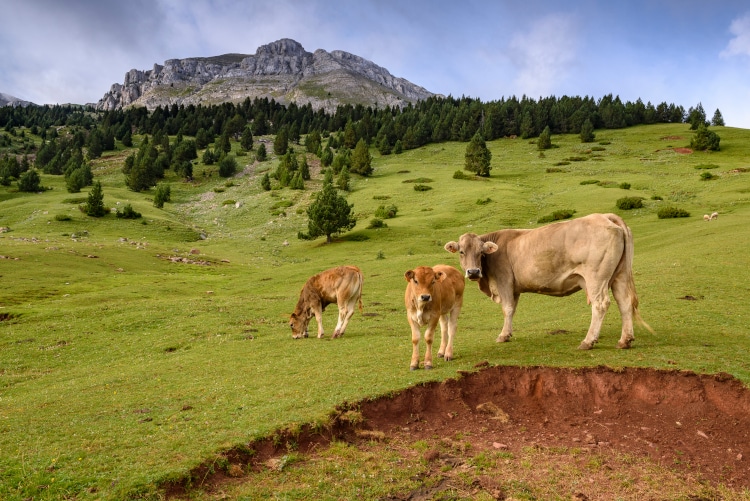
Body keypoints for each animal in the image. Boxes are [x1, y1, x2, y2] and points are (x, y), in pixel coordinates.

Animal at [446, 213, 652, 350]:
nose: (473, 272)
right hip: (620, 275)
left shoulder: (504, 282)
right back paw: (625, 340)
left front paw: (503, 335)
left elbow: (507, 309)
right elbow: (512, 309)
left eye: (480, 253)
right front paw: (508, 333)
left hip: (597, 277)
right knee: (625, 303)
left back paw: (588, 341)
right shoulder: (514, 288)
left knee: (600, 304)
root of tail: (606, 216)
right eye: (462, 252)